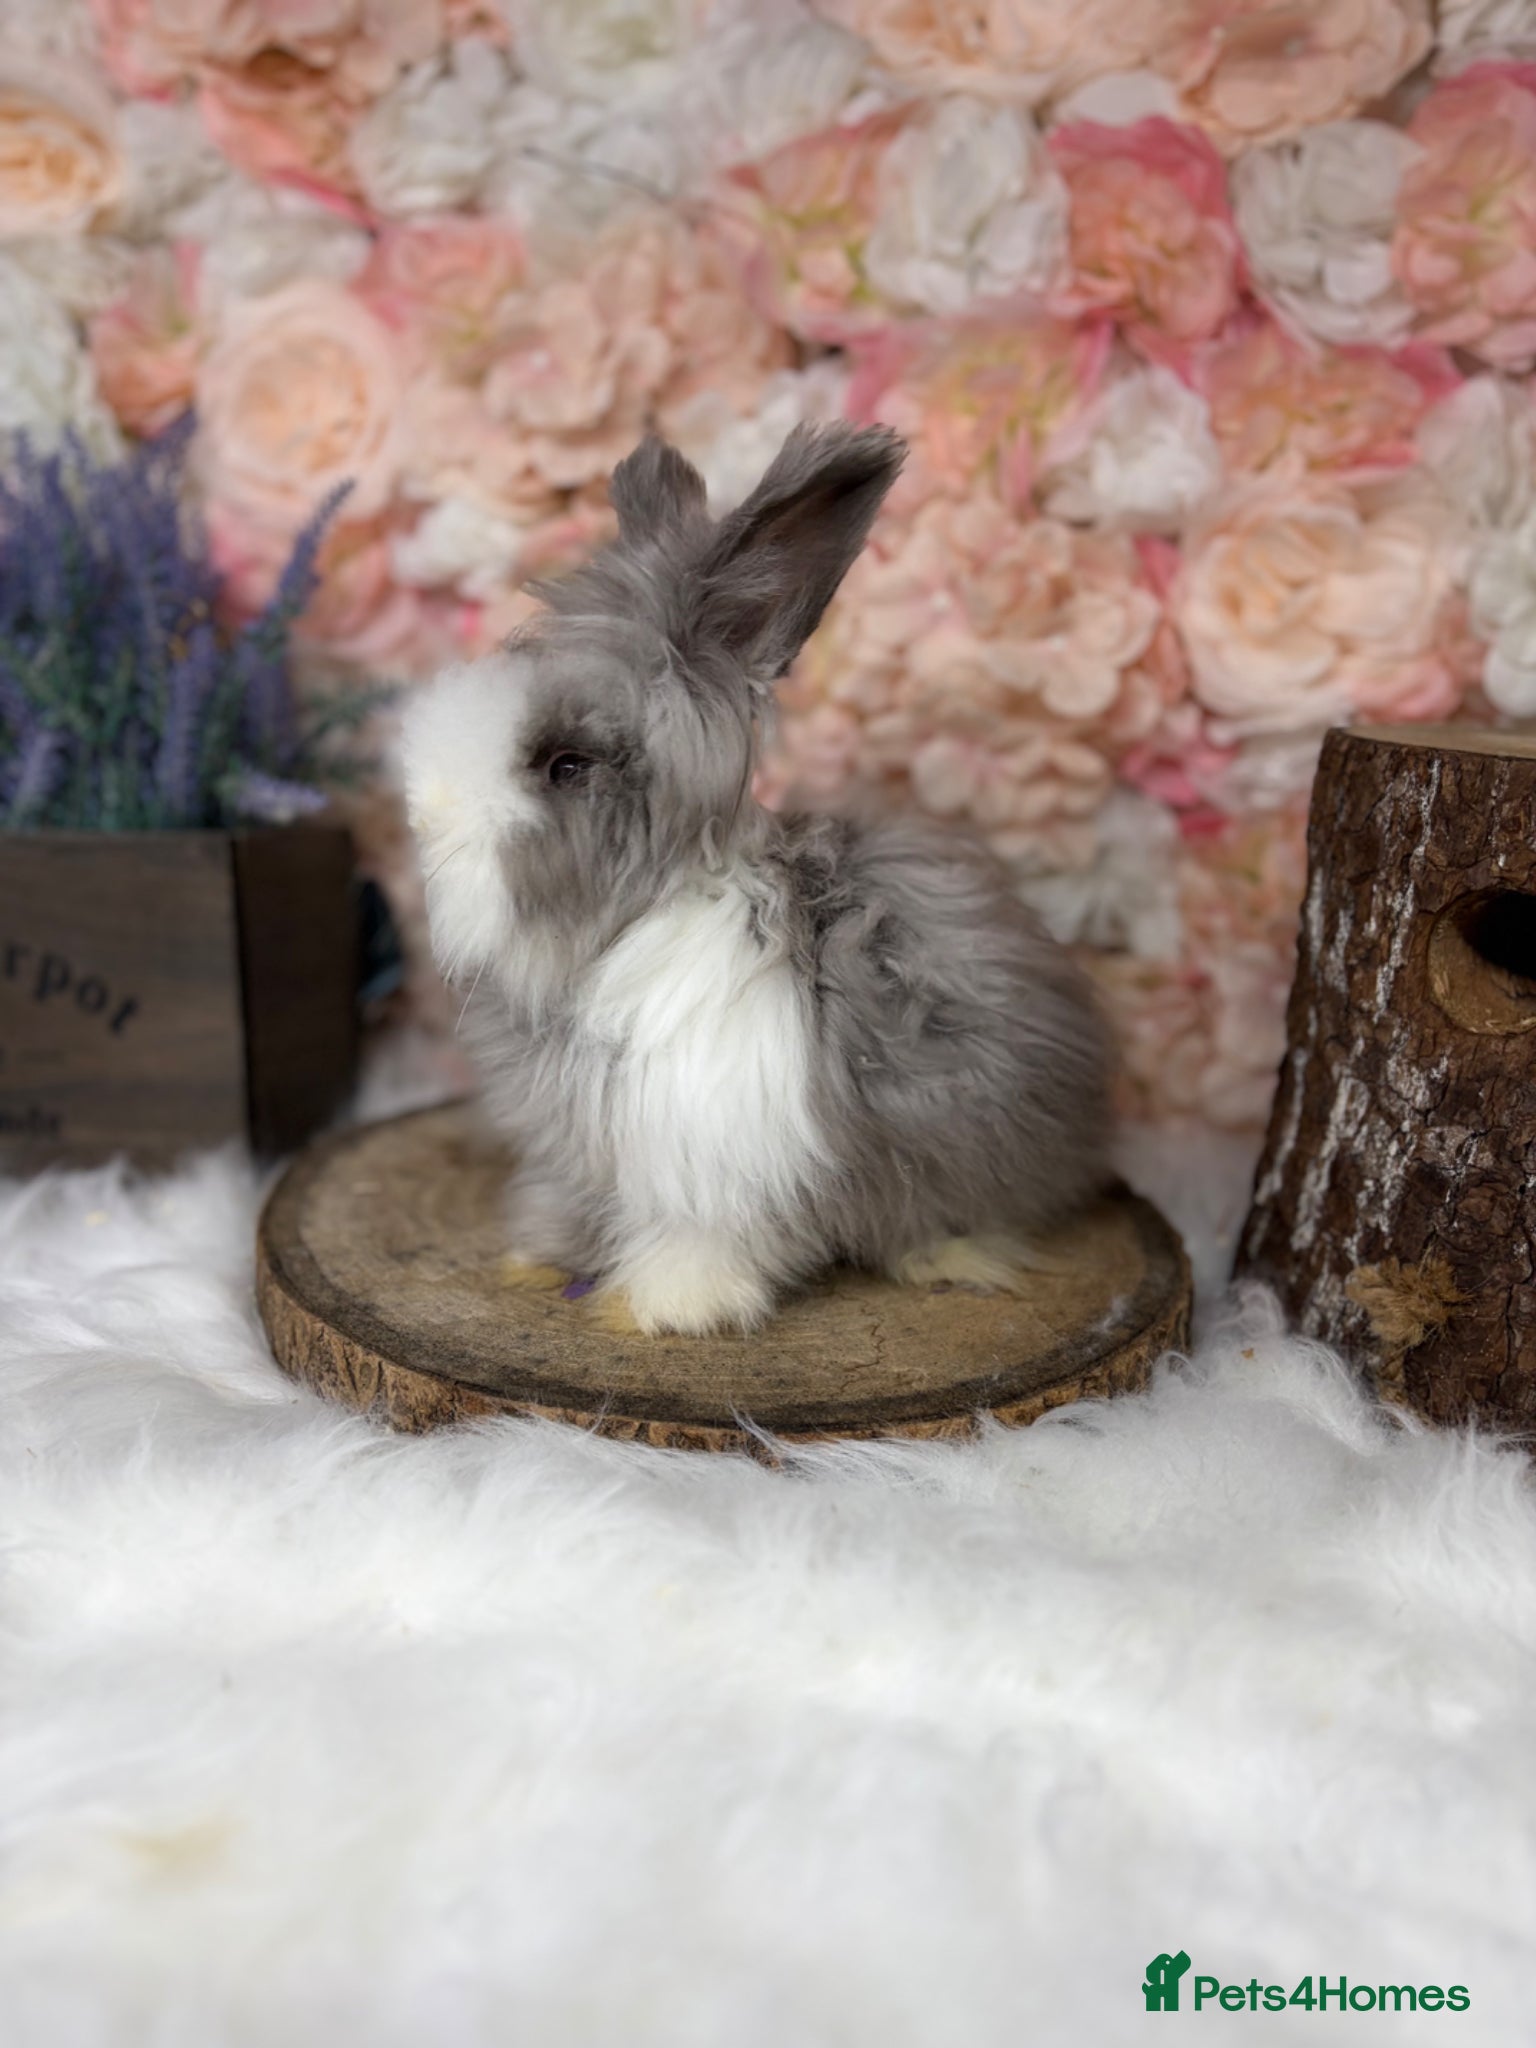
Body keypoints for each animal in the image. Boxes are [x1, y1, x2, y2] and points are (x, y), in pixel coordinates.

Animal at [400, 423, 1114, 1336]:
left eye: (565, 764)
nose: (423, 816)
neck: (628, 927)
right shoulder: (586, 1146)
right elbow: (572, 1202)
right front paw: (539, 1256)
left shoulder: (709, 1152)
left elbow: (698, 1238)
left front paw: (661, 1310)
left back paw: (944, 1258)